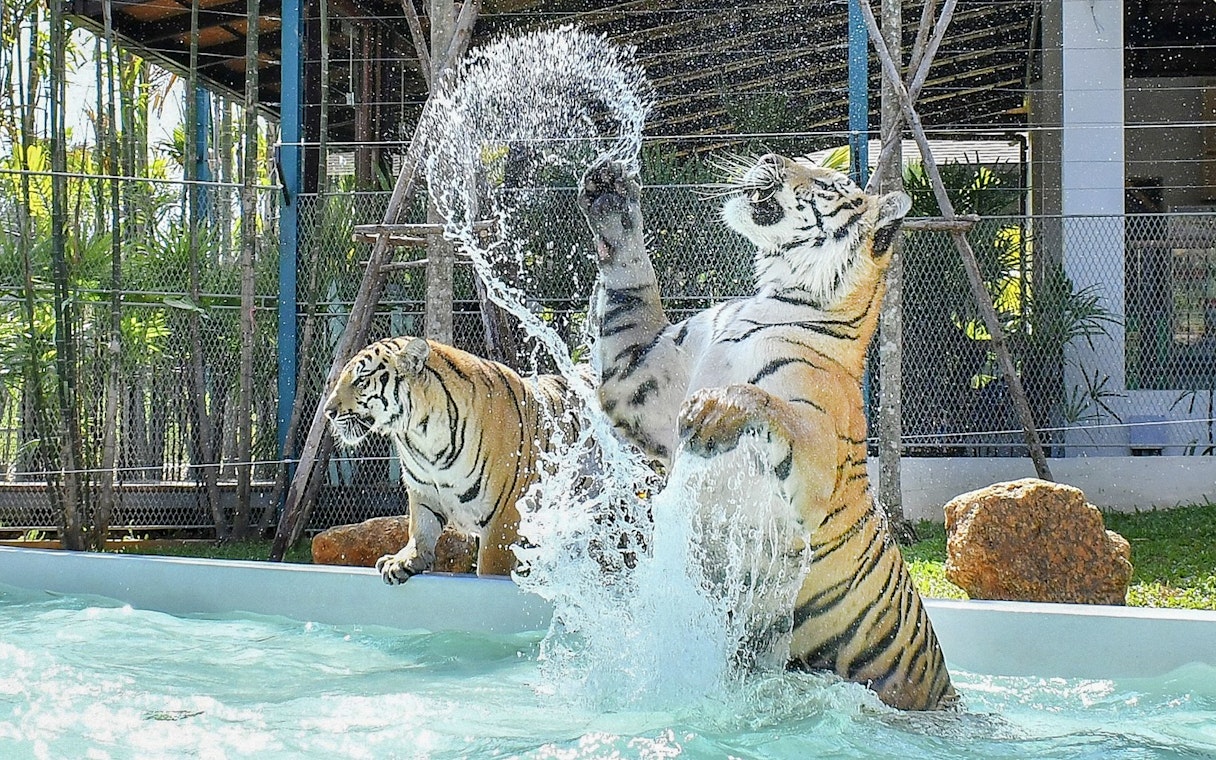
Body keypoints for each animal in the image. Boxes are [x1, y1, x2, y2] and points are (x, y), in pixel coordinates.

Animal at [323, 336, 579, 584]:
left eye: (361, 381)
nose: (328, 412)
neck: (421, 435)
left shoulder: (503, 516)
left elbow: (492, 567)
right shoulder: (423, 491)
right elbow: (421, 528)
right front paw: (403, 560)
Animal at [577, 154, 956, 711]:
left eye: (826, 182)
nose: (768, 158)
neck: (773, 299)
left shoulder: (816, 457)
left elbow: (774, 407)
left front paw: (715, 410)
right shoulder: (639, 379)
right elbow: (630, 290)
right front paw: (611, 196)